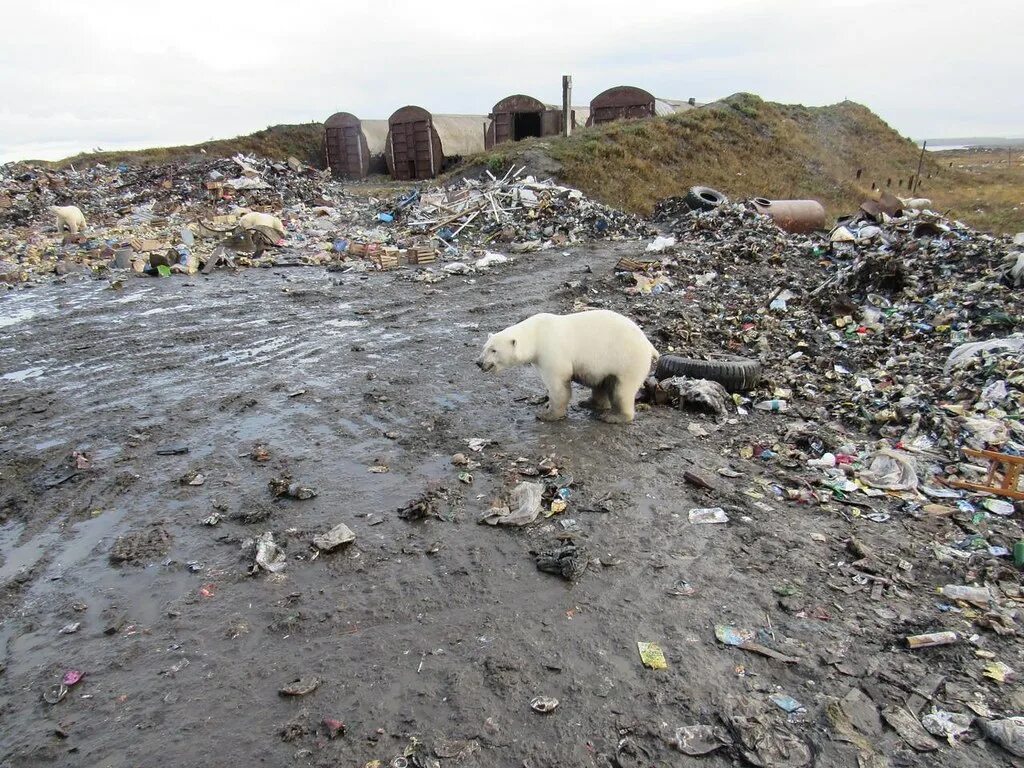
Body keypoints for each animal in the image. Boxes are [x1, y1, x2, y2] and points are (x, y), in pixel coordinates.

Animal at [475, 309, 659, 423]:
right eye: (484, 347)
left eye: (494, 350)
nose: (479, 362)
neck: (536, 335)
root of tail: (649, 345)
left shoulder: (551, 351)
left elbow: (558, 385)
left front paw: (547, 414)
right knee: (602, 383)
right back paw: (589, 403)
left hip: (627, 360)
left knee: (622, 390)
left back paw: (613, 417)